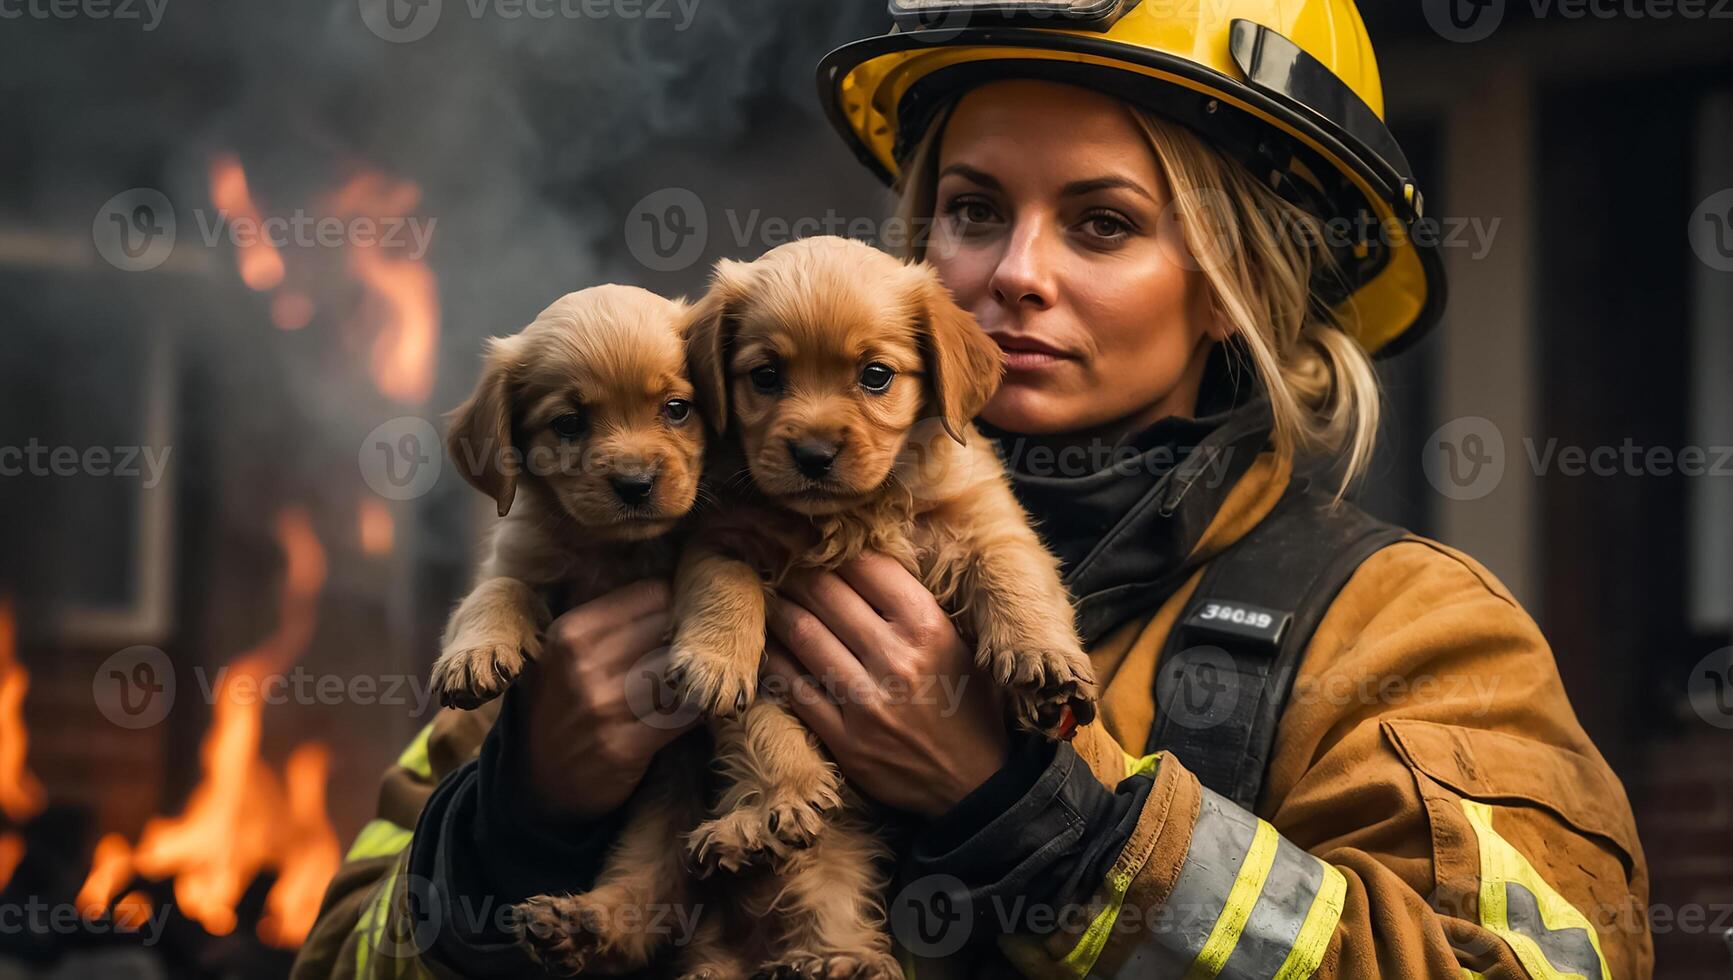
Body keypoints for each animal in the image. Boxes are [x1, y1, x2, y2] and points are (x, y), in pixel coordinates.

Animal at [662, 237, 1095, 978]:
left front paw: (1040, 659)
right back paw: (762, 829)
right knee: (806, 844)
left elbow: (1012, 576)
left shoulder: (986, 519)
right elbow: (726, 591)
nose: (812, 453)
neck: (852, 518)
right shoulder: (717, 537)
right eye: (766, 376)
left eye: (874, 375)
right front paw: (716, 658)